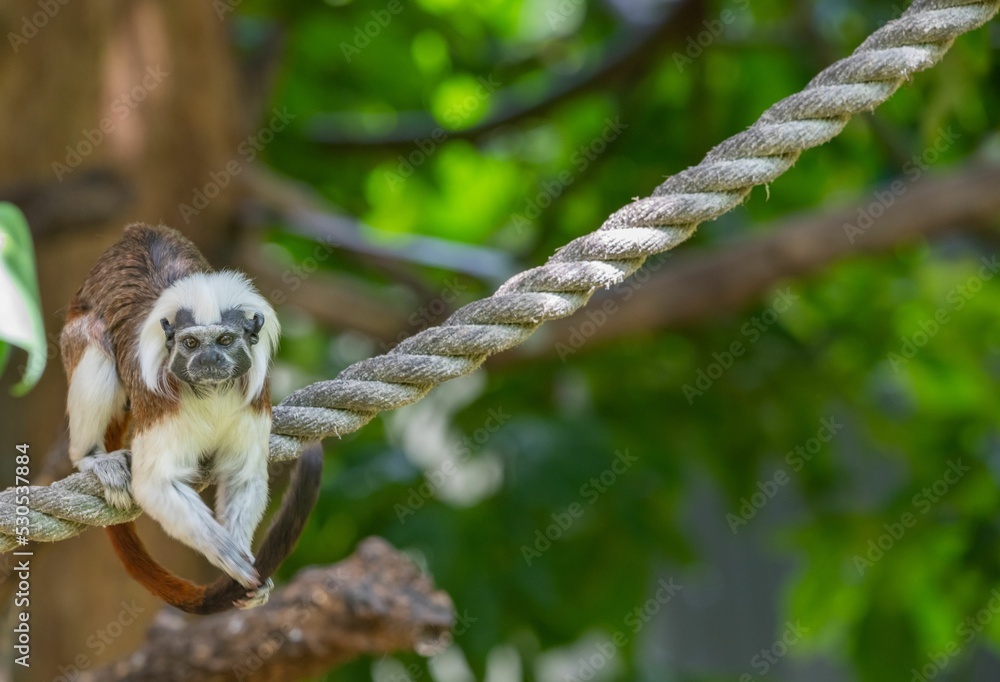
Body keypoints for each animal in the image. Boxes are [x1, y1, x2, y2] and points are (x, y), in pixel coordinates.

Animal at [61, 223, 320, 612]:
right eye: (192, 344)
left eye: (225, 340)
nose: (209, 359)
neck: (210, 391)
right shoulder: (159, 404)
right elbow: (156, 484)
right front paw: (228, 555)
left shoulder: (255, 397)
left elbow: (243, 474)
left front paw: (244, 555)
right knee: (92, 337)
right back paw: (91, 457)